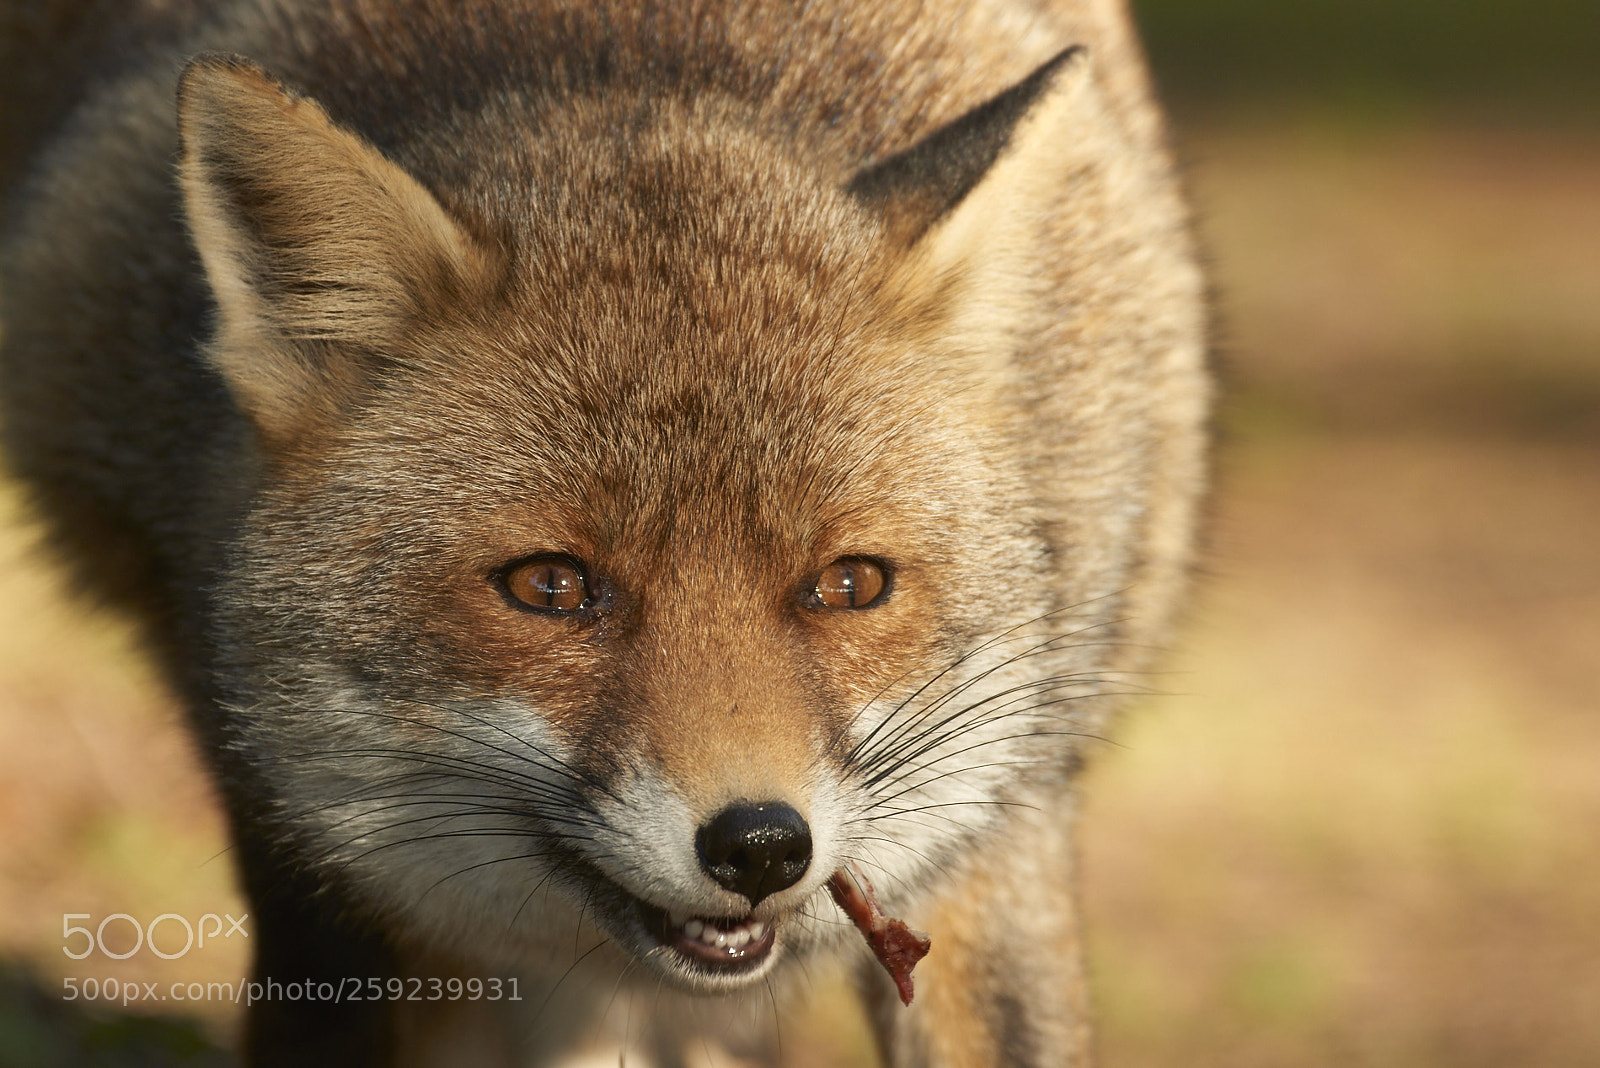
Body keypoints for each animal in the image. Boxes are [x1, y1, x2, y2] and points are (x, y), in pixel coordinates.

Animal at [0, 0, 1207, 1064]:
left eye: (850, 584)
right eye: (550, 586)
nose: (760, 846)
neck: (635, 54)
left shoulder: (1001, 820)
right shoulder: (296, 840)